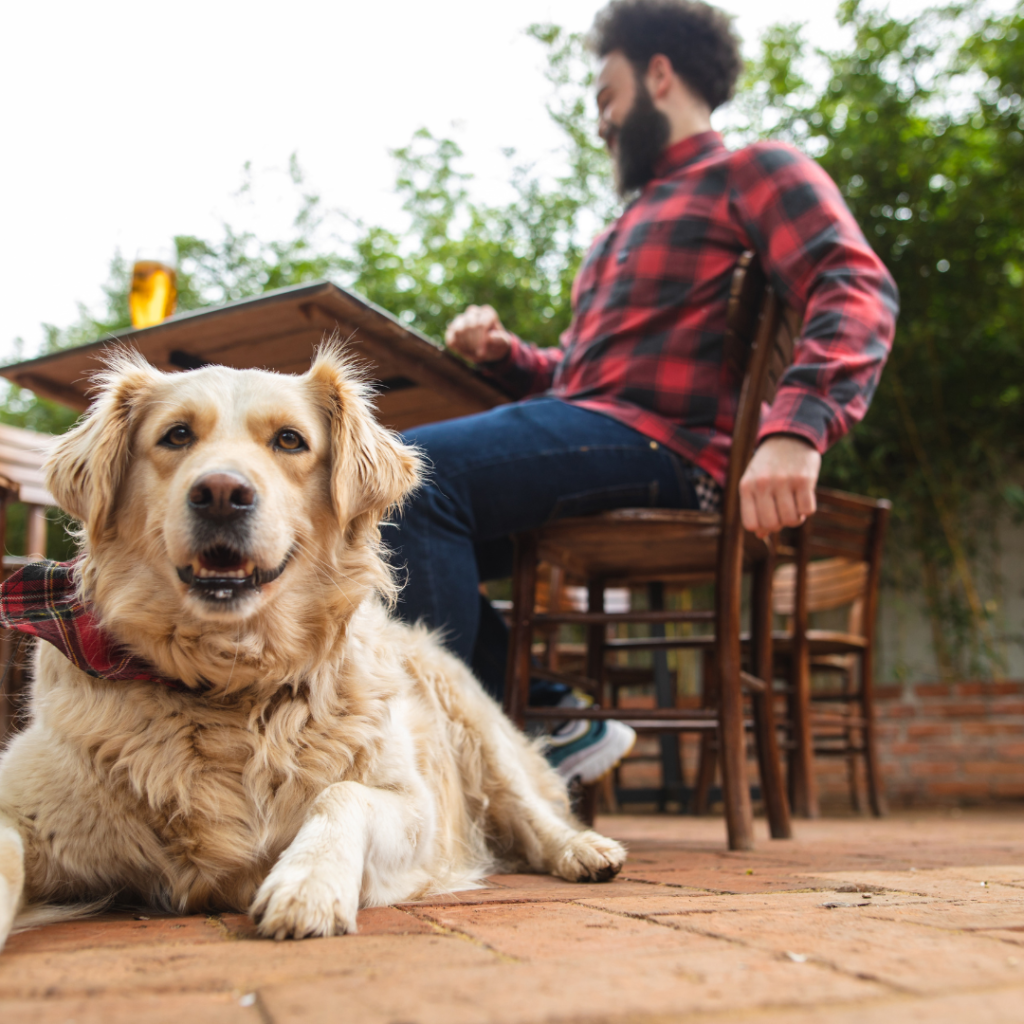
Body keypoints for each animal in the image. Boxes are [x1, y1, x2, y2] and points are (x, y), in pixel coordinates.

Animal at [0, 348, 622, 946]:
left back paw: (584, 850)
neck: (233, 682)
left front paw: (308, 884)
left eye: (289, 440)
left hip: (475, 724)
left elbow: (343, 794)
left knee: (529, 810)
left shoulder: (415, 811)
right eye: (176, 435)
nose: (221, 494)